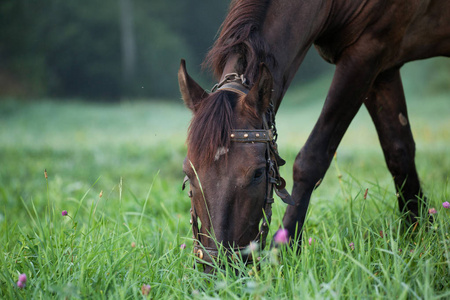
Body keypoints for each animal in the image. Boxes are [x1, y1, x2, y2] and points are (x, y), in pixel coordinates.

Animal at [178, 0, 448, 270]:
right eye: (189, 174)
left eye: (257, 174)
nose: (218, 268)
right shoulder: (384, 69)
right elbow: (398, 151)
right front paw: (418, 235)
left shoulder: (367, 53)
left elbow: (312, 159)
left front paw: (282, 252)